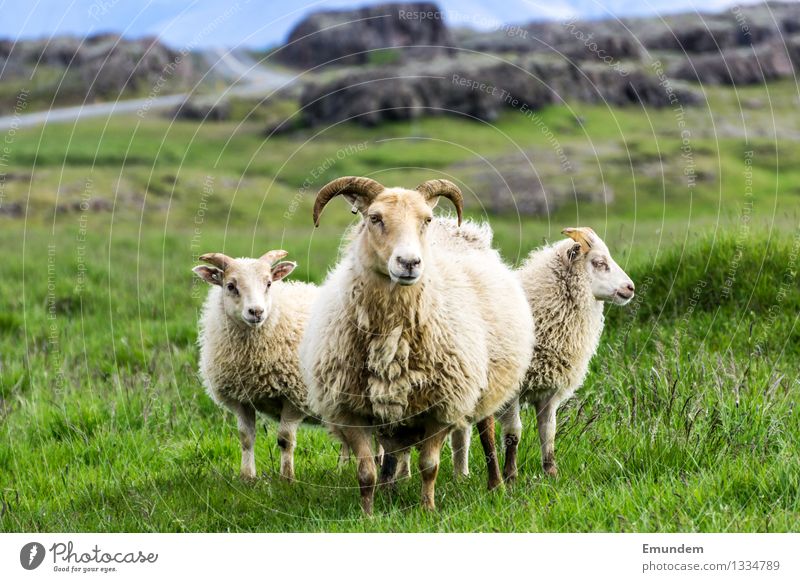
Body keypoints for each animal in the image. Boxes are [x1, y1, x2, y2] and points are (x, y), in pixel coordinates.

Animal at [193, 251, 324, 484]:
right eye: (230, 286)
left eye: (269, 283)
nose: (256, 311)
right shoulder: (242, 399)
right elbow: (246, 438)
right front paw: (247, 477)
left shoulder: (295, 396)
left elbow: (285, 439)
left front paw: (287, 479)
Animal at [296, 176, 536, 512]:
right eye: (375, 218)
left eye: (426, 220)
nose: (409, 262)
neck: (392, 334)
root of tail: (460, 229)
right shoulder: (351, 412)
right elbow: (365, 471)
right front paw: (368, 514)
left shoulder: (442, 405)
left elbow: (429, 466)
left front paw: (427, 509)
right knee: (392, 451)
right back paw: (389, 489)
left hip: (486, 381)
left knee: (487, 431)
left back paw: (496, 485)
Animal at [496, 228, 636, 484]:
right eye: (599, 262)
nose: (630, 288)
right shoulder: (510, 390)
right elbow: (514, 433)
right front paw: (511, 478)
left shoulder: (549, 391)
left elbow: (548, 432)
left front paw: (551, 474)